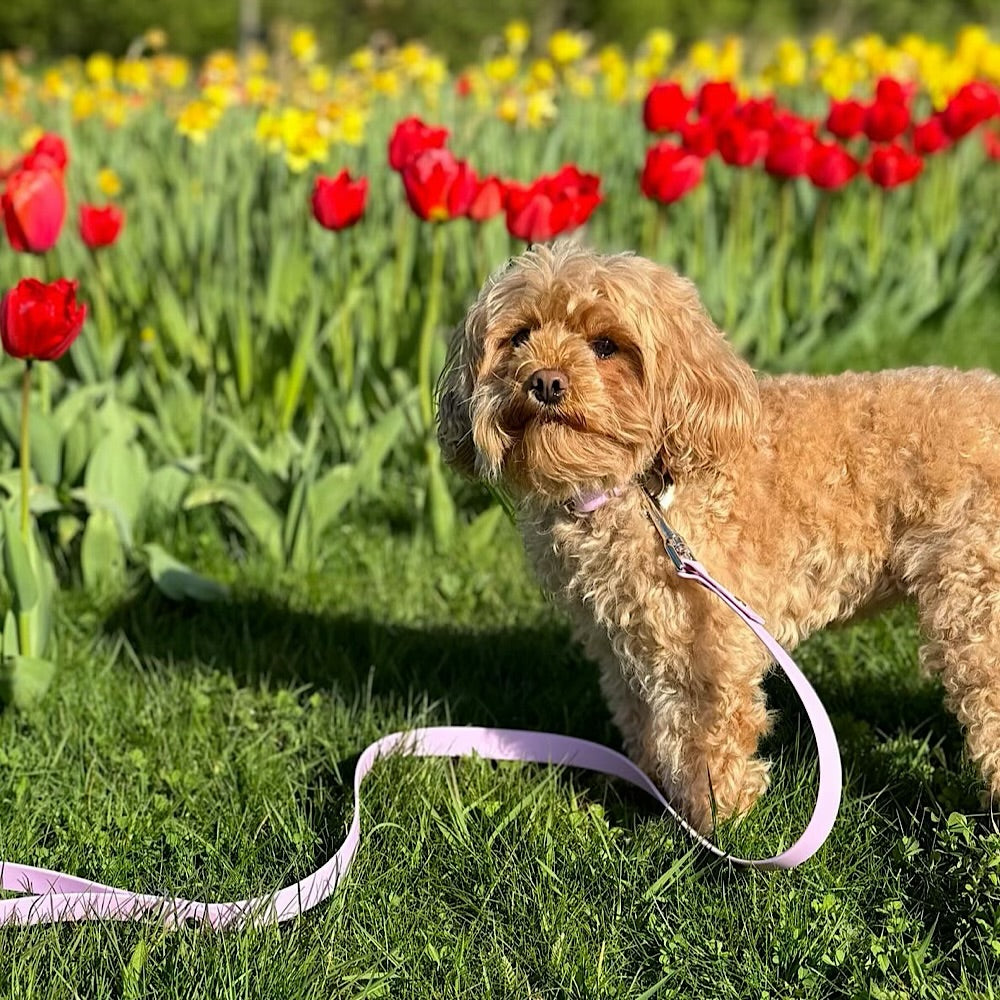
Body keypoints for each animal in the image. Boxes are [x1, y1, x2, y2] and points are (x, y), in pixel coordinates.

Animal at [438, 240, 1000, 828]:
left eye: (605, 345)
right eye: (520, 335)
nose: (545, 381)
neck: (642, 484)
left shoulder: (708, 640)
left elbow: (710, 731)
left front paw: (718, 817)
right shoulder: (622, 642)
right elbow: (643, 716)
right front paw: (650, 787)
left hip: (974, 601)